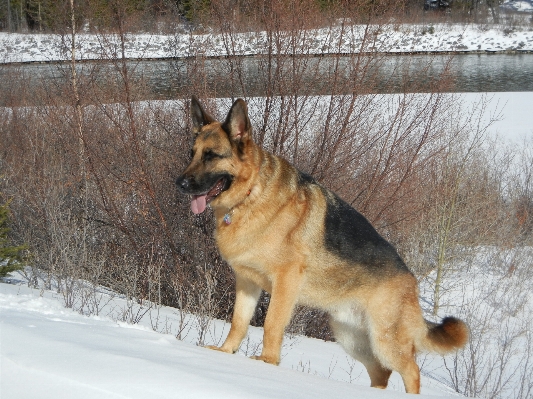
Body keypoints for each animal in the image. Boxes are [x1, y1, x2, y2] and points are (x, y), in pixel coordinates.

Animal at [176, 96, 466, 394]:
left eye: (211, 155)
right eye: (192, 153)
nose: (180, 183)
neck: (250, 195)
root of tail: (411, 279)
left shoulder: (285, 282)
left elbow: (271, 324)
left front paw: (267, 363)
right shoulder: (247, 282)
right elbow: (238, 322)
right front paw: (225, 353)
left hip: (385, 340)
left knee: (411, 370)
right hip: (353, 338)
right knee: (382, 373)